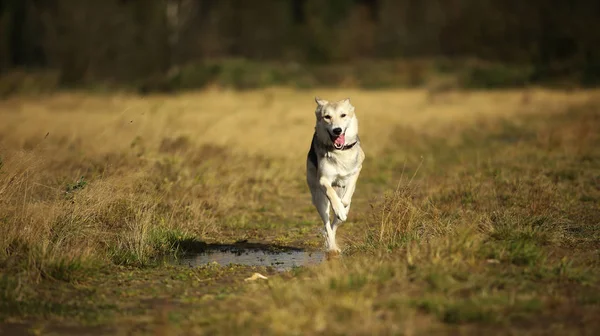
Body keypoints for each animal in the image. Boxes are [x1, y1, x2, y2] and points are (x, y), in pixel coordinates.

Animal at [304, 96, 366, 253]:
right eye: (327, 117)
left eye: (343, 115)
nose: (337, 130)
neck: (340, 151)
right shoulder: (323, 180)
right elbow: (331, 192)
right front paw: (338, 207)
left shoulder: (357, 169)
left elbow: (349, 190)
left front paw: (342, 204)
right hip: (320, 201)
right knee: (327, 225)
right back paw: (332, 247)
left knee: (334, 225)